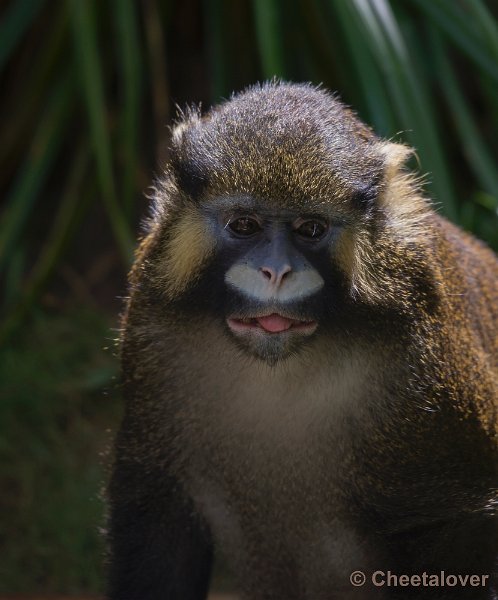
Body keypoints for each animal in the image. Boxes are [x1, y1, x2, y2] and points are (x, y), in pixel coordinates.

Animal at [106, 81, 498, 600]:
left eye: (310, 228)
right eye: (244, 225)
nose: (276, 271)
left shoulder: (430, 373)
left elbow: (457, 525)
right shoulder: (153, 330)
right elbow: (158, 515)